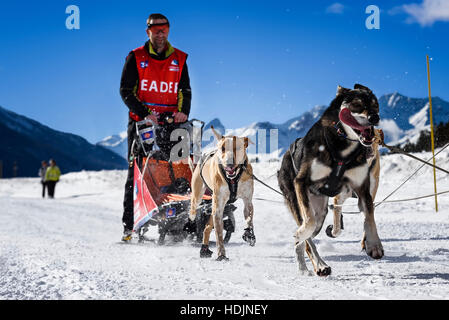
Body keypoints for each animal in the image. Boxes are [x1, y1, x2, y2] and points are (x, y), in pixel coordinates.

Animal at [187, 126, 254, 262]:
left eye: (237, 147)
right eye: (222, 148)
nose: (229, 163)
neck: (233, 180)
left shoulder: (248, 199)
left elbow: (249, 216)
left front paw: (249, 233)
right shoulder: (218, 207)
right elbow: (219, 234)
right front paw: (221, 254)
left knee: (207, 227)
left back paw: (204, 248)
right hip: (200, 194)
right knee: (194, 206)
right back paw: (192, 217)